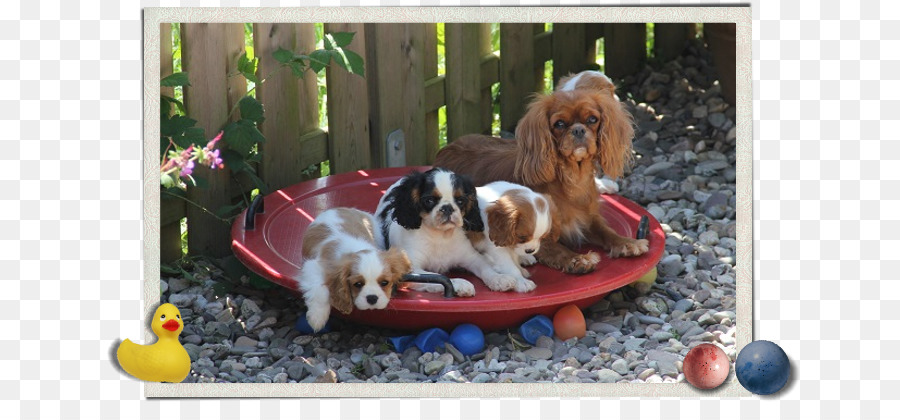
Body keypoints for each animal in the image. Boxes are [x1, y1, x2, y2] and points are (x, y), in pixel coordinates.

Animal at [378, 168, 520, 296]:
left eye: (460, 200)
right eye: (429, 200)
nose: (447, 207)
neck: (441, 235)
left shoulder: (473, 258)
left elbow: (486, 268)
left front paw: (499, 279)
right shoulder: (412, 270)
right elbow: (437, 277)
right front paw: (461, 284)